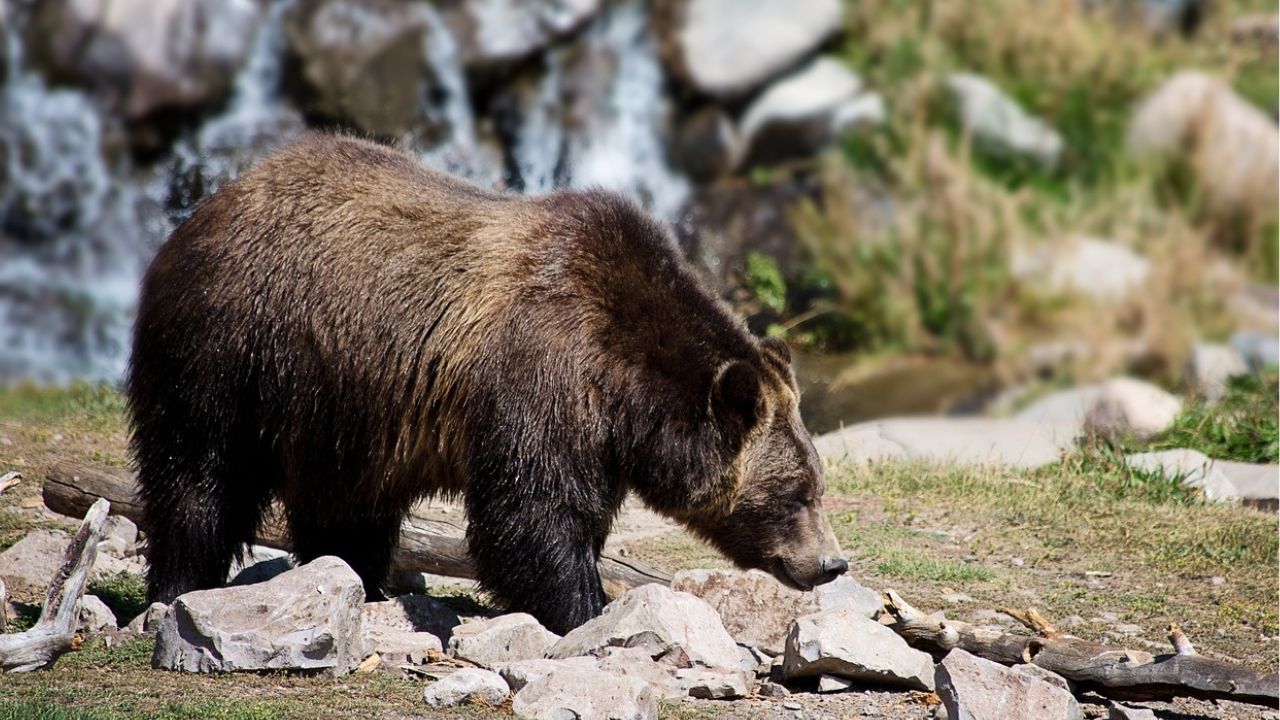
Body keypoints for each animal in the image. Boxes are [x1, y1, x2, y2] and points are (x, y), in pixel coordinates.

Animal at [127, 134, 847, 634]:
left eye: (817, 483)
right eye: (797, 492)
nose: (831, 563)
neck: (625, 387)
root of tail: (208, 206)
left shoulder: (597, 434)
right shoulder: (542, 371)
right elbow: (530, 514)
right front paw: (585, 609)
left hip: (338, 404)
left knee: (346, 506)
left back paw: (359, 579)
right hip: (234, 347)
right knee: (199, 474)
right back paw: (179, 585)